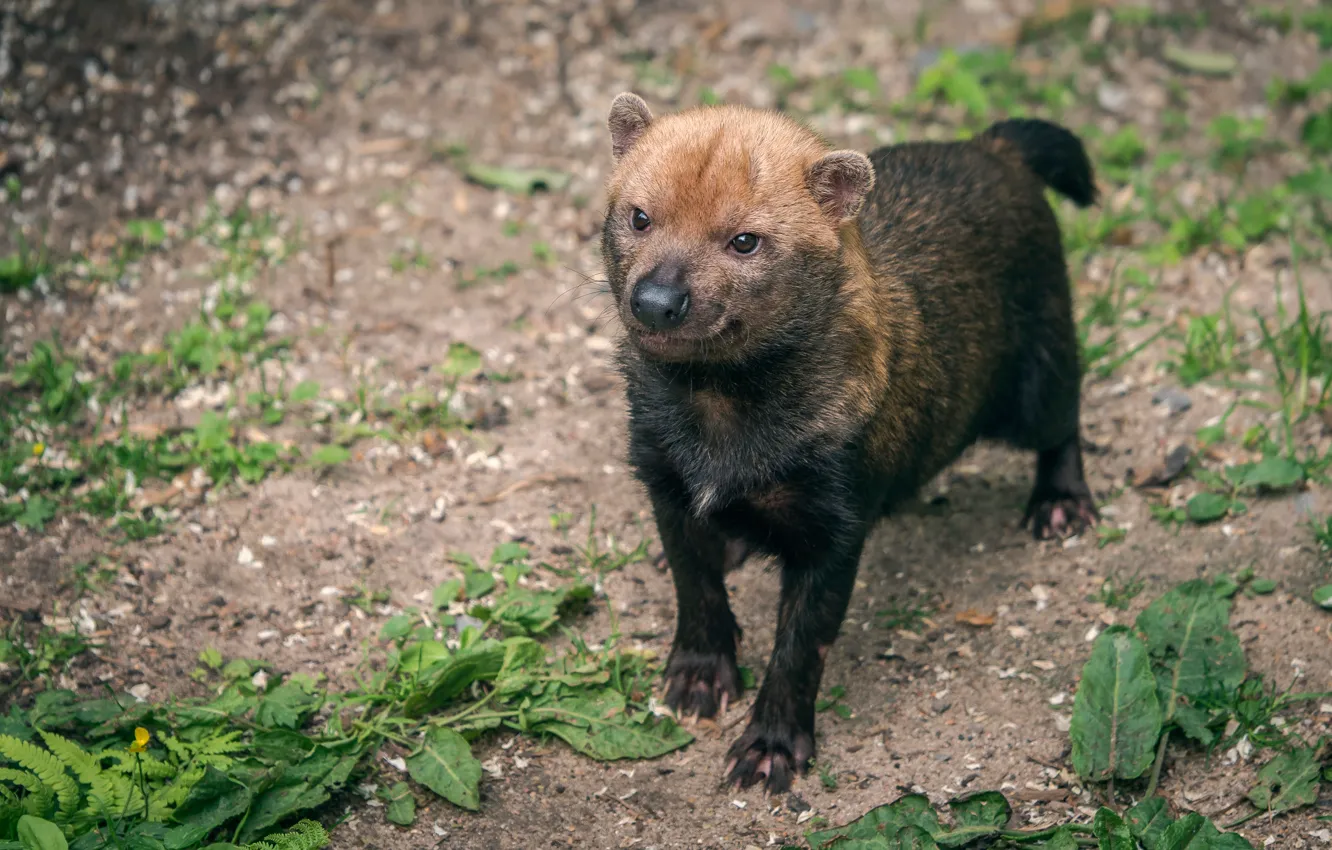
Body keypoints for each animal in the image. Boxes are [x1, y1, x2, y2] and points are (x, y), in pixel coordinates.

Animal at [599, 89, 1097, 794]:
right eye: (639, 216)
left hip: (1038, 370)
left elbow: (801, 646)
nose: (657, 300)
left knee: (1066, 414)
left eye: (745, 240)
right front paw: (696, 680)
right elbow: (695, 588)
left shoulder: (834, 523)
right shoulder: (663, 479)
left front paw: (770, 749)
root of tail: (994, 146)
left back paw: (1060, 505)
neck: (722, 433)